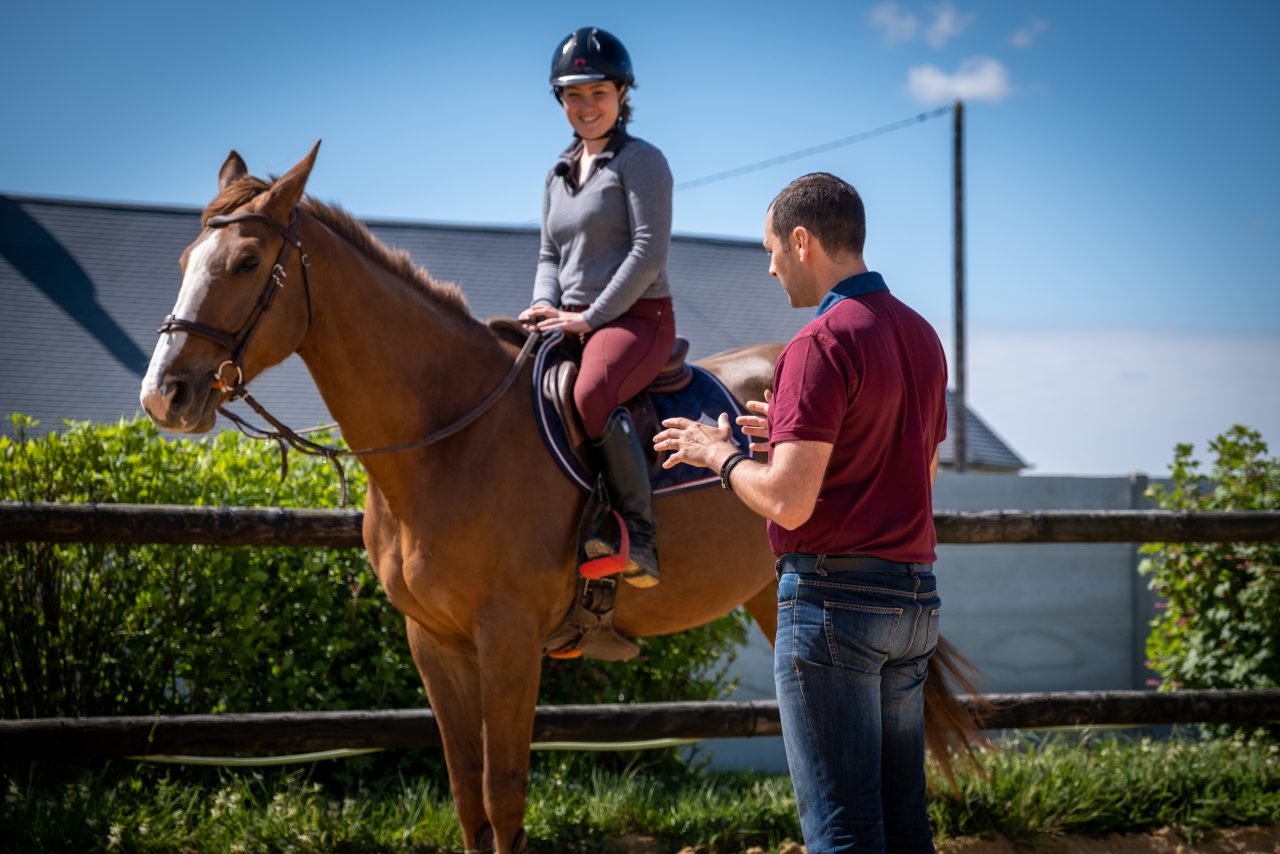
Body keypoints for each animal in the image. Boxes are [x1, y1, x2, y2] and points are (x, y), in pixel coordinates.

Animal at [140, 143, 978, 853]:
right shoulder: (434, 642)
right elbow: (468, 797)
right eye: (183, 260)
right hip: (771, 596)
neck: (448, 436)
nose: (165, 394)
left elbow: (504, 794)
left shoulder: (507, 639)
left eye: (247, 260)